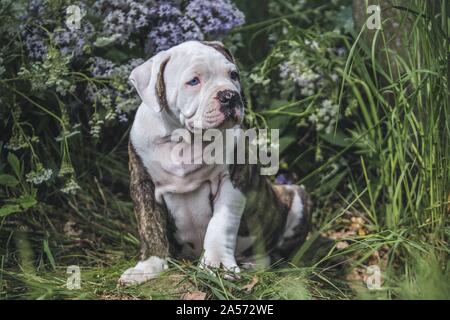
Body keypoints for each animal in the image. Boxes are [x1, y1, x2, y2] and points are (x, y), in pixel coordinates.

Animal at [118, 40, 312, 284]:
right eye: (193, 81)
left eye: (233, 75)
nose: (230, 95)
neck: (185, 139)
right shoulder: (142, 184)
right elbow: (150, 227)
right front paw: (148, 266)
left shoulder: (232, 181)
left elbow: (220, 226)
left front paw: (218, 265)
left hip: (297, 196)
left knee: (272, 254)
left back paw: (254, 264)